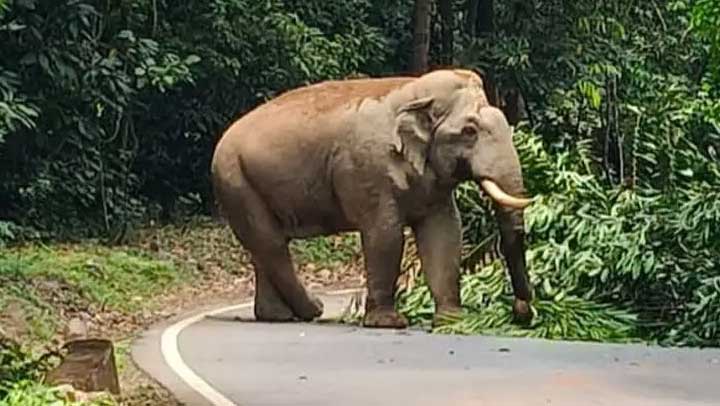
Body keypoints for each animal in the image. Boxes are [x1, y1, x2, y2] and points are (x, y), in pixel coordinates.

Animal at [210, 68, 534, 329]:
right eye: (469, 131)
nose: (522, 311)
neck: (415, 91)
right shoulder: (370, 171)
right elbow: (385, 235)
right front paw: (389, 323)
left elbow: (445, 232)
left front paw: (454, 321)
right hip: (235, 179)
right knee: (272, 244)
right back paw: (312, 310)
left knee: (263, 247)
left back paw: (278, 316)